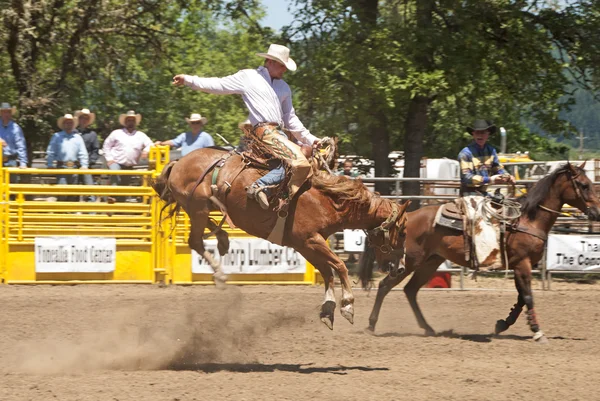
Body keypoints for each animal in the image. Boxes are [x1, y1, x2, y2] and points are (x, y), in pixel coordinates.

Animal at [358, 161, 600, 342]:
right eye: (583, 185)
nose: (596, 212)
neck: (527, 220)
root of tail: (405, 218)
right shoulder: (522, 264)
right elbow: (528, 297)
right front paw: (537, 332)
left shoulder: (521, 265)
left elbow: (521, 298)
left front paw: (503, 324)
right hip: (407, 262)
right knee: (385, 286)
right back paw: (371, 325)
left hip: (431, 262)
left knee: (410, 290)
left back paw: (427, 327)